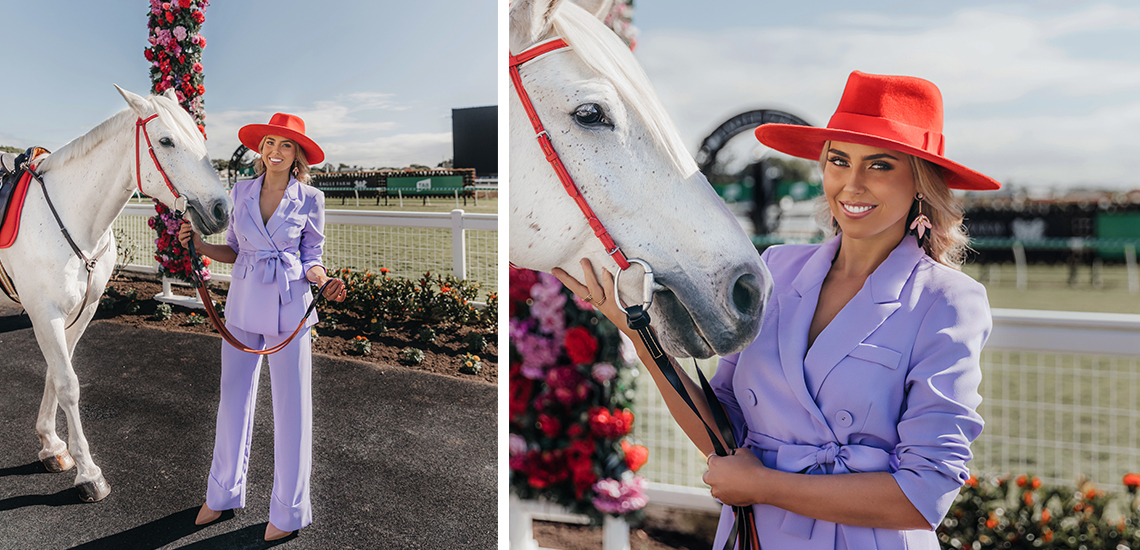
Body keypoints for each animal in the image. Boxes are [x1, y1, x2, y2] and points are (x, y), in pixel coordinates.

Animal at [0, 86, 232, 502]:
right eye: (166, 141)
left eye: (200, 138)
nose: (222, 209)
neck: (71, 218)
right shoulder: (45, 313)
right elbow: (68, 384)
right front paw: (88, 473)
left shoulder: (82, 310)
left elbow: (55, 374)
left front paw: (51, 446)